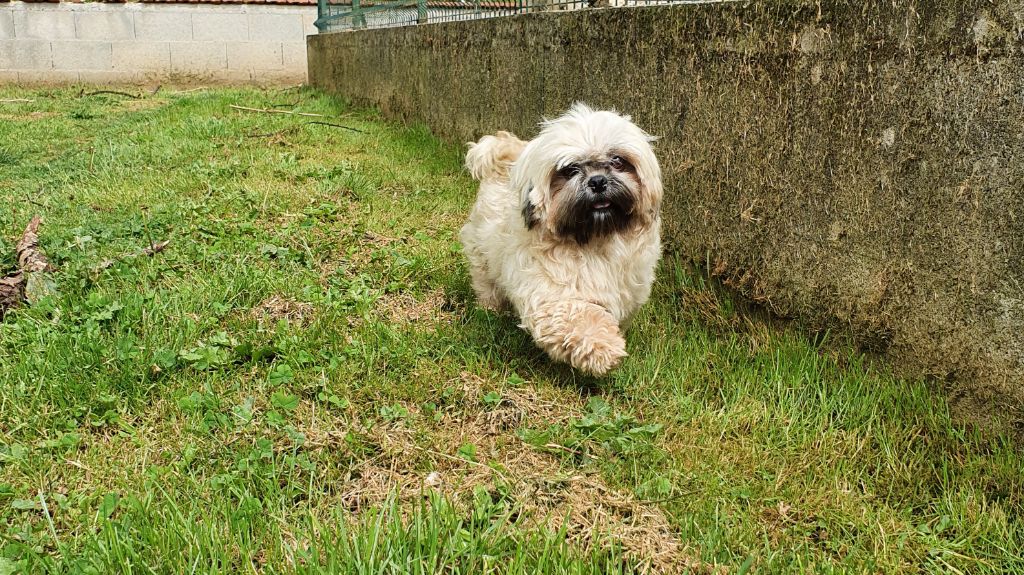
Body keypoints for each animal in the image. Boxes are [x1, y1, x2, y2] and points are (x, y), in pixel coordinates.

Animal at [458, 101, 663, 376]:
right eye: (570, 170)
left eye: (618, 161)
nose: (598, 181)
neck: (595, 241)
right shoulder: (550, 293)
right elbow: (576, 316)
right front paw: (602, 346)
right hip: (483, 255)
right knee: (487, 283)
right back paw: (490, 309)